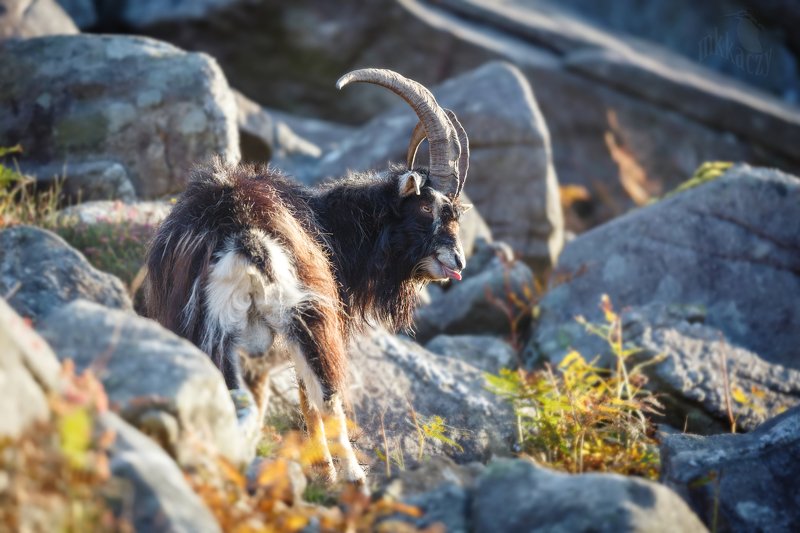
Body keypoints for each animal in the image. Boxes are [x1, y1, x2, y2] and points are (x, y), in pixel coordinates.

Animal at [144, 69, 470, 485]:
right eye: (427, 207)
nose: (458, 261)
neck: (332, 225)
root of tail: (243, 234)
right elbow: (310, 399)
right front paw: (326, 471)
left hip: (208, 332)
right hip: (307, 314)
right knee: (329, 395)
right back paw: (351, 478)